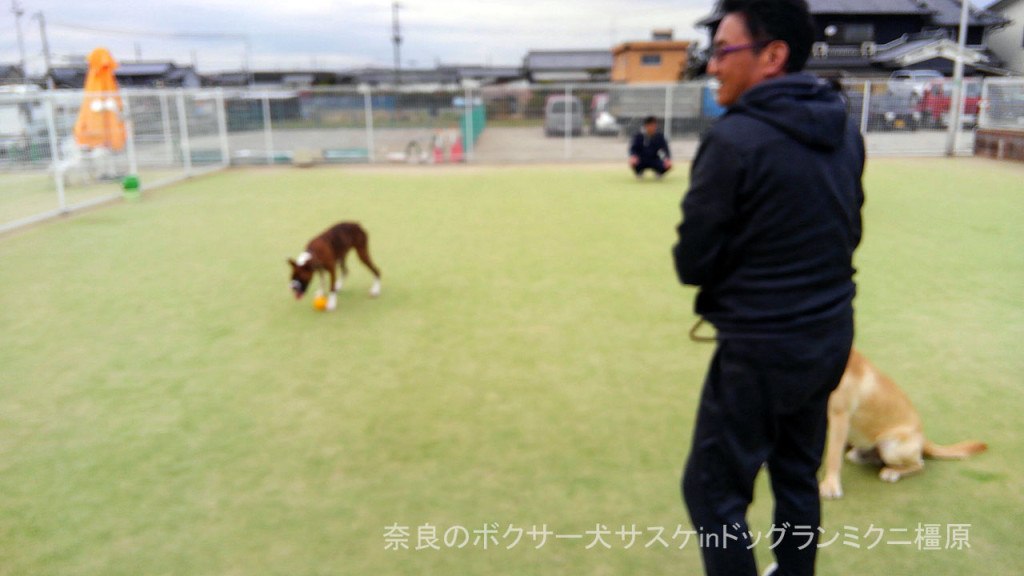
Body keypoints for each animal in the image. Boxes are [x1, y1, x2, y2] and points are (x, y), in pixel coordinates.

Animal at [819, 344, 987, 498]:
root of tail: (923, 438)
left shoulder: (839, 415)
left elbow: (833, 455)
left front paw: (831, 485)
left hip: (891, 448)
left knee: (919, 465)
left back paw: (892, 472)